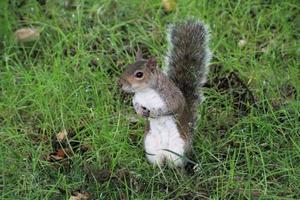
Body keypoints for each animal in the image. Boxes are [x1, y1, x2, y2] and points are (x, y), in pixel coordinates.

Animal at [117, 20, 211, 167]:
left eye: (139, 74)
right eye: (127, 68)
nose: (120, 83)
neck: (146, 92)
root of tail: (164, 154)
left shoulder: (171, 97)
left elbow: (172, 107)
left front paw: (155, 113)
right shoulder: (138, 98)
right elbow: (135, 104)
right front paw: (139, 111)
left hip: (178, 149)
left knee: (176, 165)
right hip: (151, 148)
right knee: (159, 163)